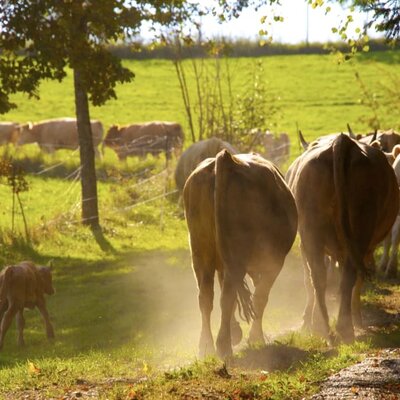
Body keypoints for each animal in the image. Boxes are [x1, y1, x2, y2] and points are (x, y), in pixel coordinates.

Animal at [184, 151, 296, 360]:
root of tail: (226, 159)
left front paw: (237, 330)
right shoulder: (273, 262)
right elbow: (260, 296)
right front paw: (256, 337)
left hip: (201, 253)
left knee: (206, 297)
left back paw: (206, 346)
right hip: (241, 256)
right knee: (229, 295)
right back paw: (223, 345)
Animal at [286, 134, 398, 344]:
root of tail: (342, 141)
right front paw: (357, 318)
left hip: (311, 233)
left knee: (318, 277)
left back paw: (323, 327)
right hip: (359, 232)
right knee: (346, 277)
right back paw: (344, 328)